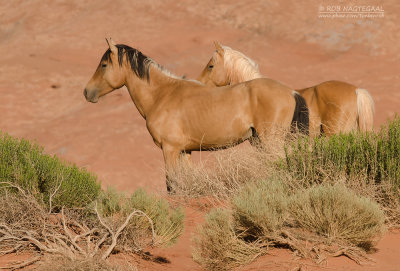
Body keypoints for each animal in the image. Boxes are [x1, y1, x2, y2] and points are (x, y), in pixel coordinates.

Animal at [83, 38, 310, 191]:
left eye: (104, 65)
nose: (87, 92)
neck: (162, 95)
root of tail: (291, 92)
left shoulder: (170, 150)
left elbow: (172, 185)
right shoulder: (185, 152)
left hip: (270, 142)